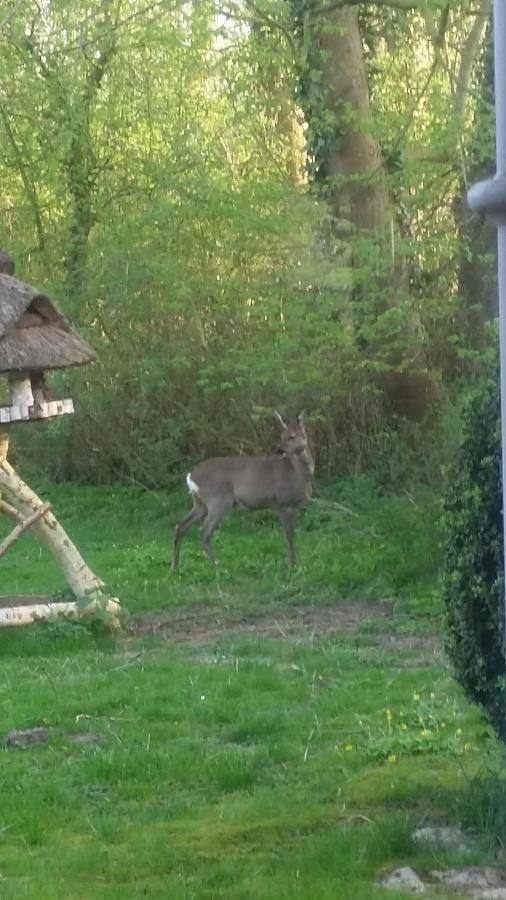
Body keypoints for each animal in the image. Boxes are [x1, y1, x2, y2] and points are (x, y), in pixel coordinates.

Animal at [175, 410, 316, 568]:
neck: (297, 472)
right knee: (204, 531)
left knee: (181, 526)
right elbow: (290, 536)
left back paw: (175, 566)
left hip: (200, 504)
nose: (279, 450)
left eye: (292, 436)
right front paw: (292, 566)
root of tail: (191, 477)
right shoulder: (284, 502)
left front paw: (293, 564)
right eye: (282, 435)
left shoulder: (291, 506)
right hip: (218, 501)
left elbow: (292, 535)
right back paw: (216, 565)